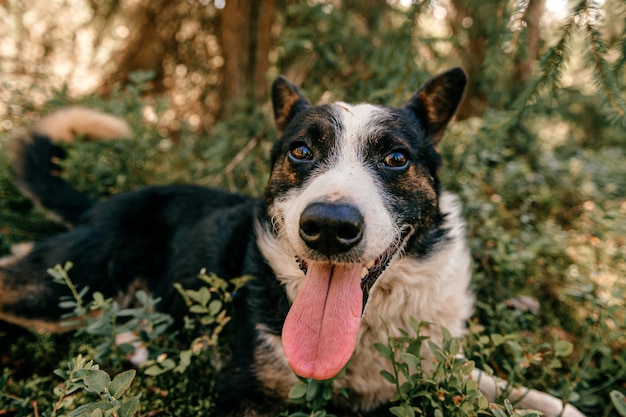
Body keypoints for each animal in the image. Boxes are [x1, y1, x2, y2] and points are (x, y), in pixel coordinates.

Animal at [2, 69, 584, 416]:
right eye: (301, 151)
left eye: (396, 158)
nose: (328, 225)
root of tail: (104, 203)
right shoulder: (244, 393)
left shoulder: (439, 361)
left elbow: (539, 398)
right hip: (67, 285)